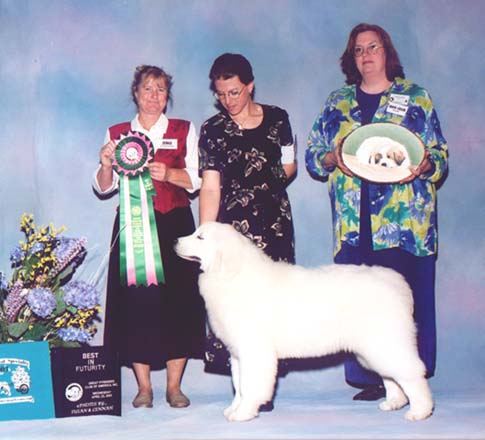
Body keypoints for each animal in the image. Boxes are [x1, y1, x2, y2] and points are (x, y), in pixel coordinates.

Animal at [174, 222, 432, 422]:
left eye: (200, 237)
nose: (175, 240)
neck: (231, 275)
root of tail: (396, 282)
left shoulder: (254, 351)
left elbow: (250, 385)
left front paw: (244, 413)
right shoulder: (237, 354)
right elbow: (239, 385)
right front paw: (233, 409)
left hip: (385, 342)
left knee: (412, 373)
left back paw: (420, 411)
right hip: (373, 349)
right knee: (392, 376)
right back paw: (394, 402)